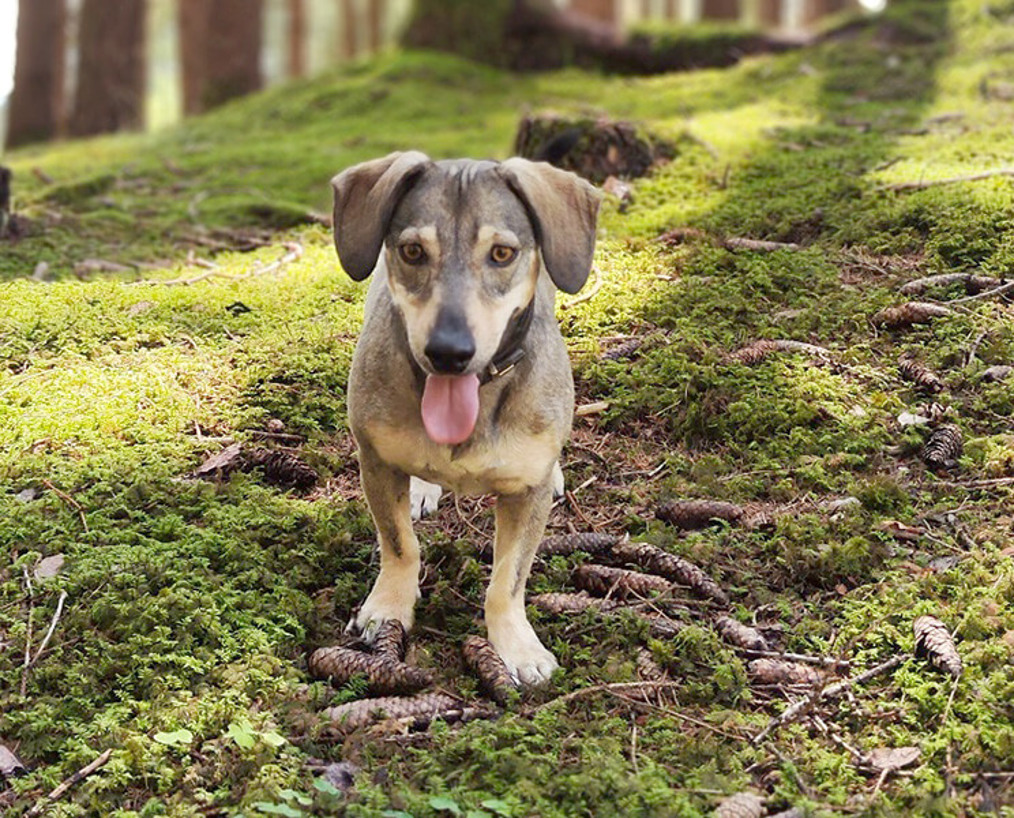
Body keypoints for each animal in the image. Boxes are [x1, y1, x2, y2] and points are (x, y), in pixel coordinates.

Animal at [332, 152, 600, 685]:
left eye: (502, 253)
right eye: (412, 251)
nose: (449, 352)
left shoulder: (527, 494)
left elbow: (508, 579)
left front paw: (516, 645)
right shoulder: (375, 461)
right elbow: (400, 545)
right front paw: (388, 609)